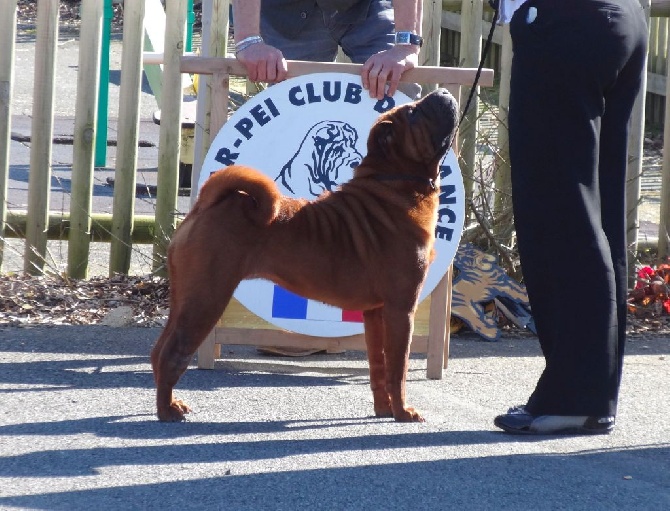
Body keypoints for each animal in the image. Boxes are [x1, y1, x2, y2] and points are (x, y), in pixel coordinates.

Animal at [150, 88, 460, 424]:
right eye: (414, 113)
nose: (443, 91)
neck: (395, 182)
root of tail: (206, 204)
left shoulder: (376, 313)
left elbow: (378, 367)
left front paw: (383, 410)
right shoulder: (400, 310)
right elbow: (398, 370)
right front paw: (403, 412)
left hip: (186, 298)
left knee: (159, 350)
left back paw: (170, 403)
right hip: (206, 300)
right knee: (172, 354)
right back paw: (167, 411)